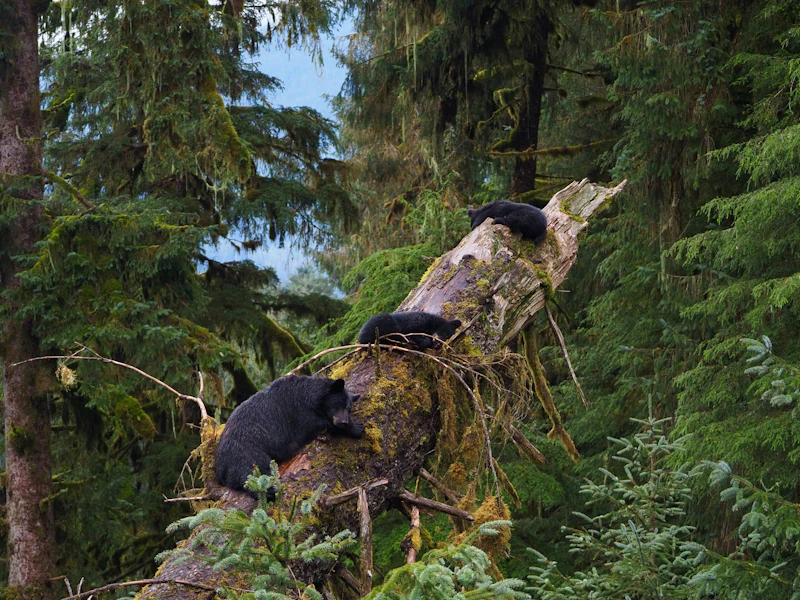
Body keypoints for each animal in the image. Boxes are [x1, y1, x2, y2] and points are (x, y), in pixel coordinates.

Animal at [215, 375, 364, 495]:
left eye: (348, 408)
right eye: (341, 405)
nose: (343, 422)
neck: (309, 396)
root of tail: (220, 469)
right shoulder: (298, 411)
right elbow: (317, 424)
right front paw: (357, 428)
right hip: (246, 452)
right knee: (253, 472)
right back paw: (270, 491)